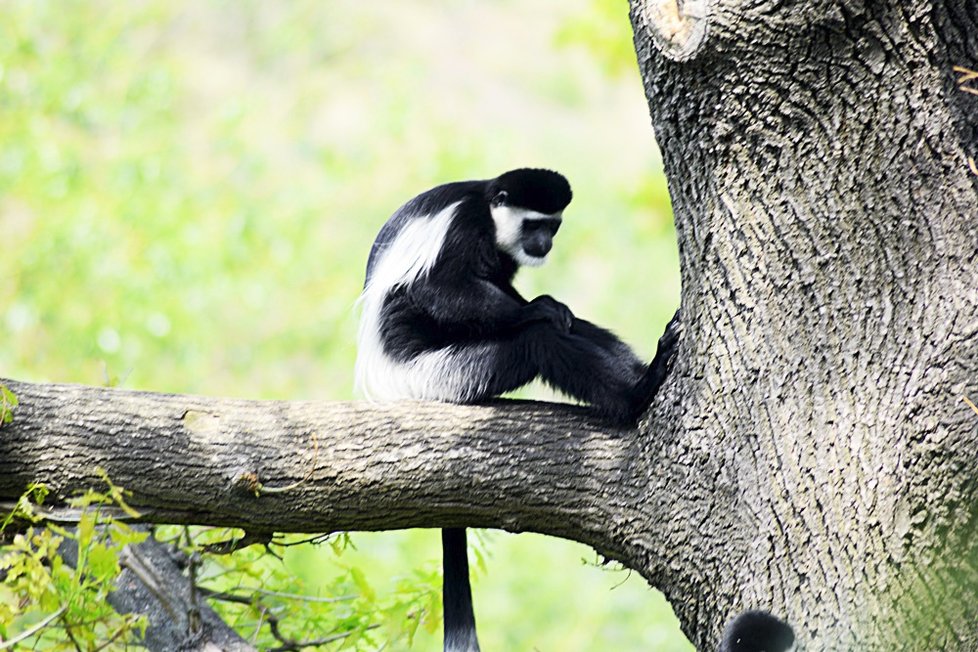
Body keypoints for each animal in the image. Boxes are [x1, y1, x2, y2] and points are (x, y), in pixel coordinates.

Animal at [356, 169, 680, 652]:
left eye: (554, 225)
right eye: (534, 225)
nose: (544, 245)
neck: (489, 213)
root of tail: (392, 385)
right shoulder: (461, 229)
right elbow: (435, 290)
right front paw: (537, 306)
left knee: (572, 329)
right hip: (446, 375)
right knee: (539, 339)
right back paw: (637, 391)